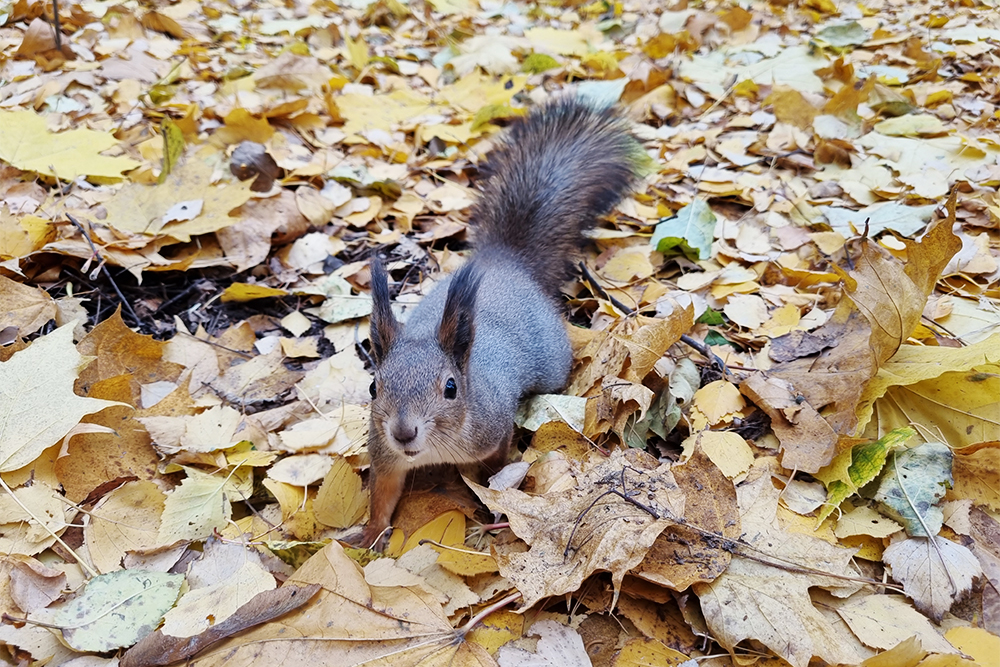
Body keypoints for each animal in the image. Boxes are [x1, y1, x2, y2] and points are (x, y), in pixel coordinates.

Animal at [356, 98, 644, 548]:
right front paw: (367, 536)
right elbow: (382, 498)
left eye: (451, 388)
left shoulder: (493, 428)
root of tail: (504, 259)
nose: (403, 433)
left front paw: (488, 498)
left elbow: (492, 468)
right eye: (373, 387)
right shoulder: (385, 457)